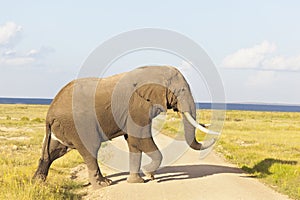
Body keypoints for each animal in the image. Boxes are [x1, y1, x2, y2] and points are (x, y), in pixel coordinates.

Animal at [32, 65, 217, 188]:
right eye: (181, 91)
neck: (154, 70)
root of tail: (50, 111)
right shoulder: (137, 106)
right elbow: (139, 138)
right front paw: (148, 174)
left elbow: (133, 142)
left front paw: (136, 180)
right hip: (78, 124)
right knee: (90, 149)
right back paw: (103, 184)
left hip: (62, 127)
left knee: (53, 152)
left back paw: (37, 183)